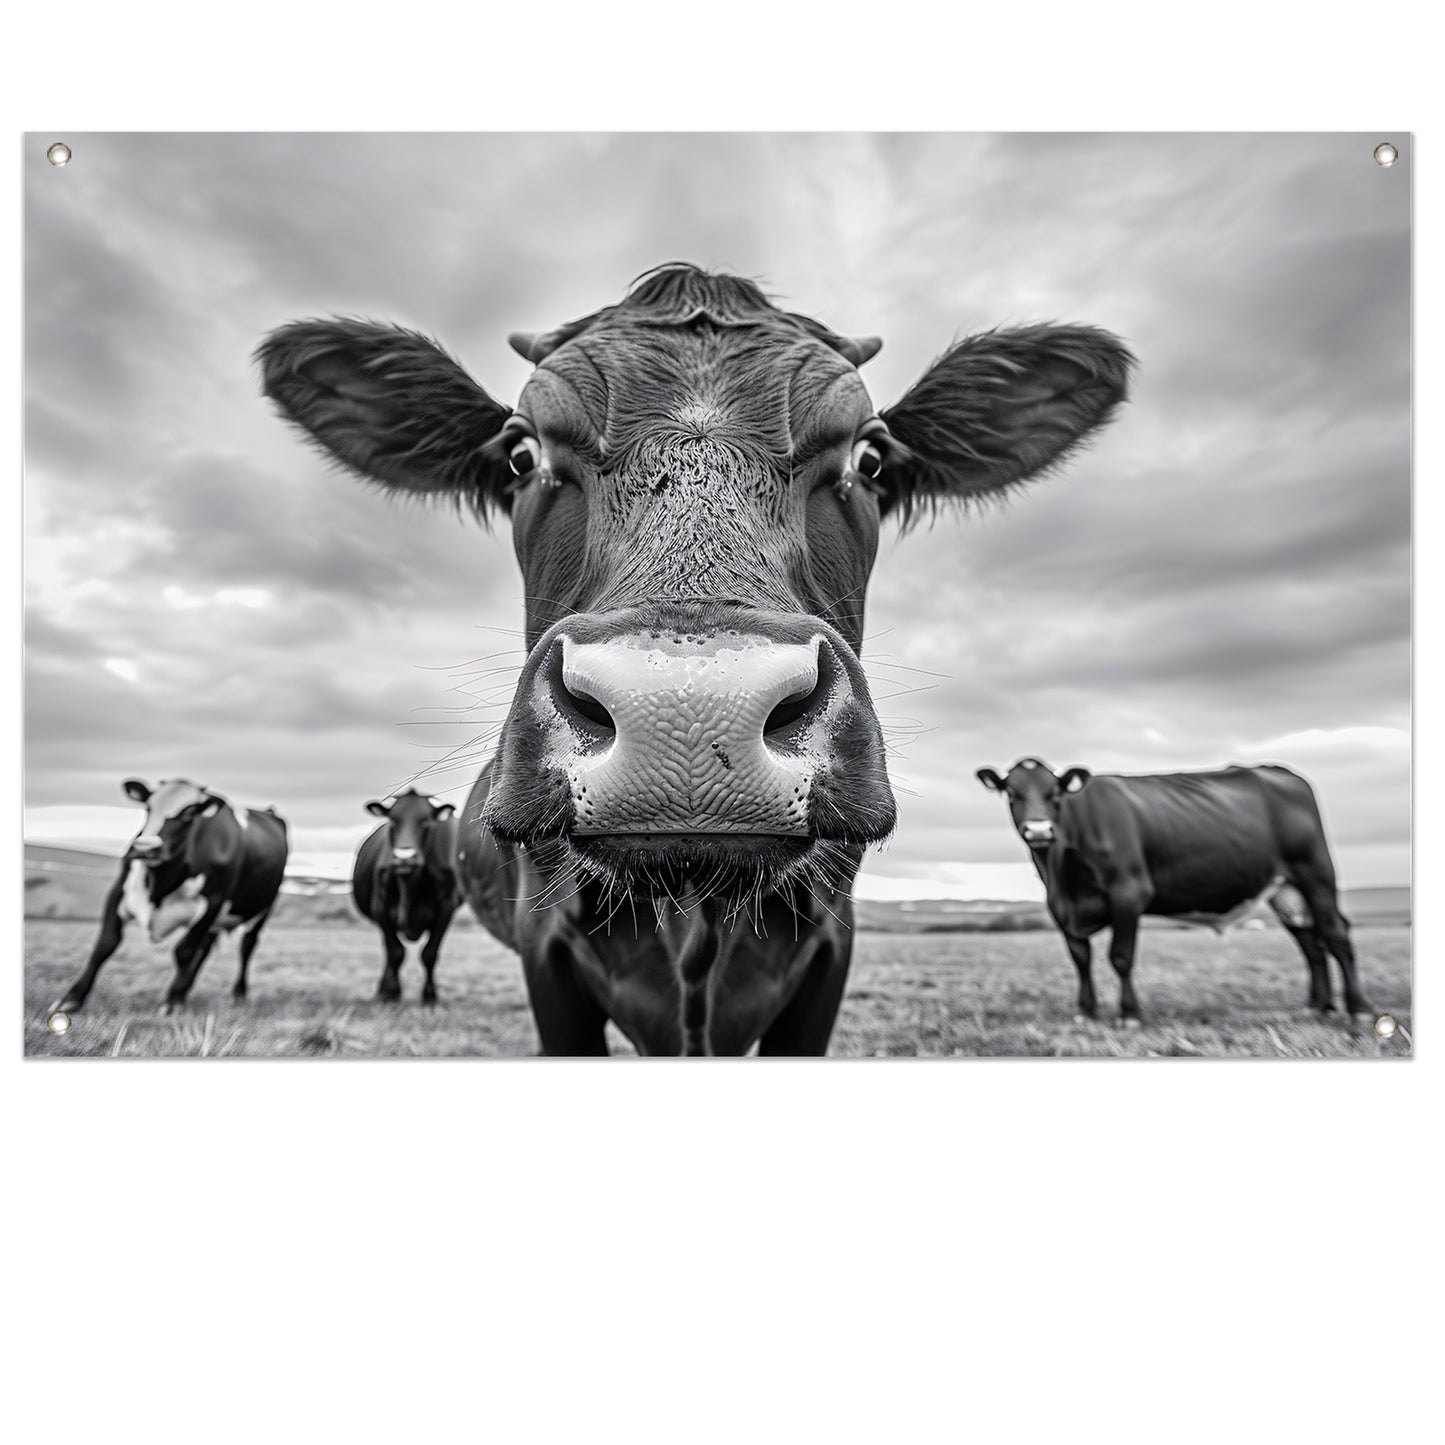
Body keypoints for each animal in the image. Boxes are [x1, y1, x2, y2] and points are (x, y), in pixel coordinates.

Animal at [54, 780, 289, 1017]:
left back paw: (238, 995)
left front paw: (173, 1003)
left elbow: (184, 951)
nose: (146, 847)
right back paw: (188, 989)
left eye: (189, 813)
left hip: (263, 908)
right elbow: (105, 945)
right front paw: (71, 999)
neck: (160, 884)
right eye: (148, 807)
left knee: (246, 946)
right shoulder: (119, 892)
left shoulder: (212, 902)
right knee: (205, 949)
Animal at [349, 791, 456, 1005]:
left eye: (425, 821)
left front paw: (429, 995)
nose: (404, 857)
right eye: (393, 821)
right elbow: (395, 952)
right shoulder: (381, 909)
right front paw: (392, 992)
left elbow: (429, 953)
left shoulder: (446, 909)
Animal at [976, 762, 1369, 1023]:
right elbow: (1081, 960)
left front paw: (1129, 1014)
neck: (1064, 877)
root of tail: (1280, 771)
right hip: (1285, 891)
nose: (1039, 830)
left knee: (1335, 934)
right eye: (1012, 793)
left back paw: (1358, 1009)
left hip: (1316, 875)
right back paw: (1319, 1006)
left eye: (1055, 793)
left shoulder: (1128, 894)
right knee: (1311, 943)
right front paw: (1086, 1012)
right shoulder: (1061, 910)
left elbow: (1120, 957)